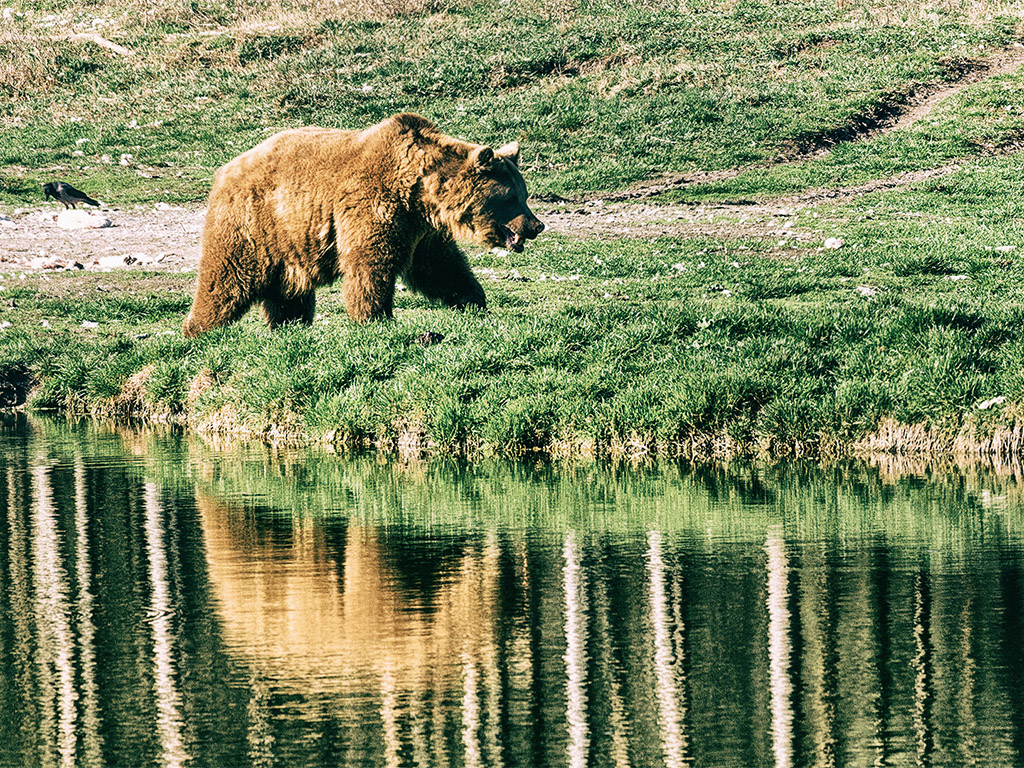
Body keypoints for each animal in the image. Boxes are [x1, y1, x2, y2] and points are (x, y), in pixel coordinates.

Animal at [185, 112, 552, 335]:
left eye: (523, 193)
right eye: (512, 198)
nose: (536, 225)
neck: (419, 191)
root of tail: (226, 169)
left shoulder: (422, 231)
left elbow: (440, 268)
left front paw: (473, 301)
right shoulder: (373, 206)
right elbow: (371, 264)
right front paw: (375, 318)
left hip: (288, 240)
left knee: (288, 292)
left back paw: (291, 326)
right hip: (253, 224)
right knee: (226, 279)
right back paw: (199, 330)